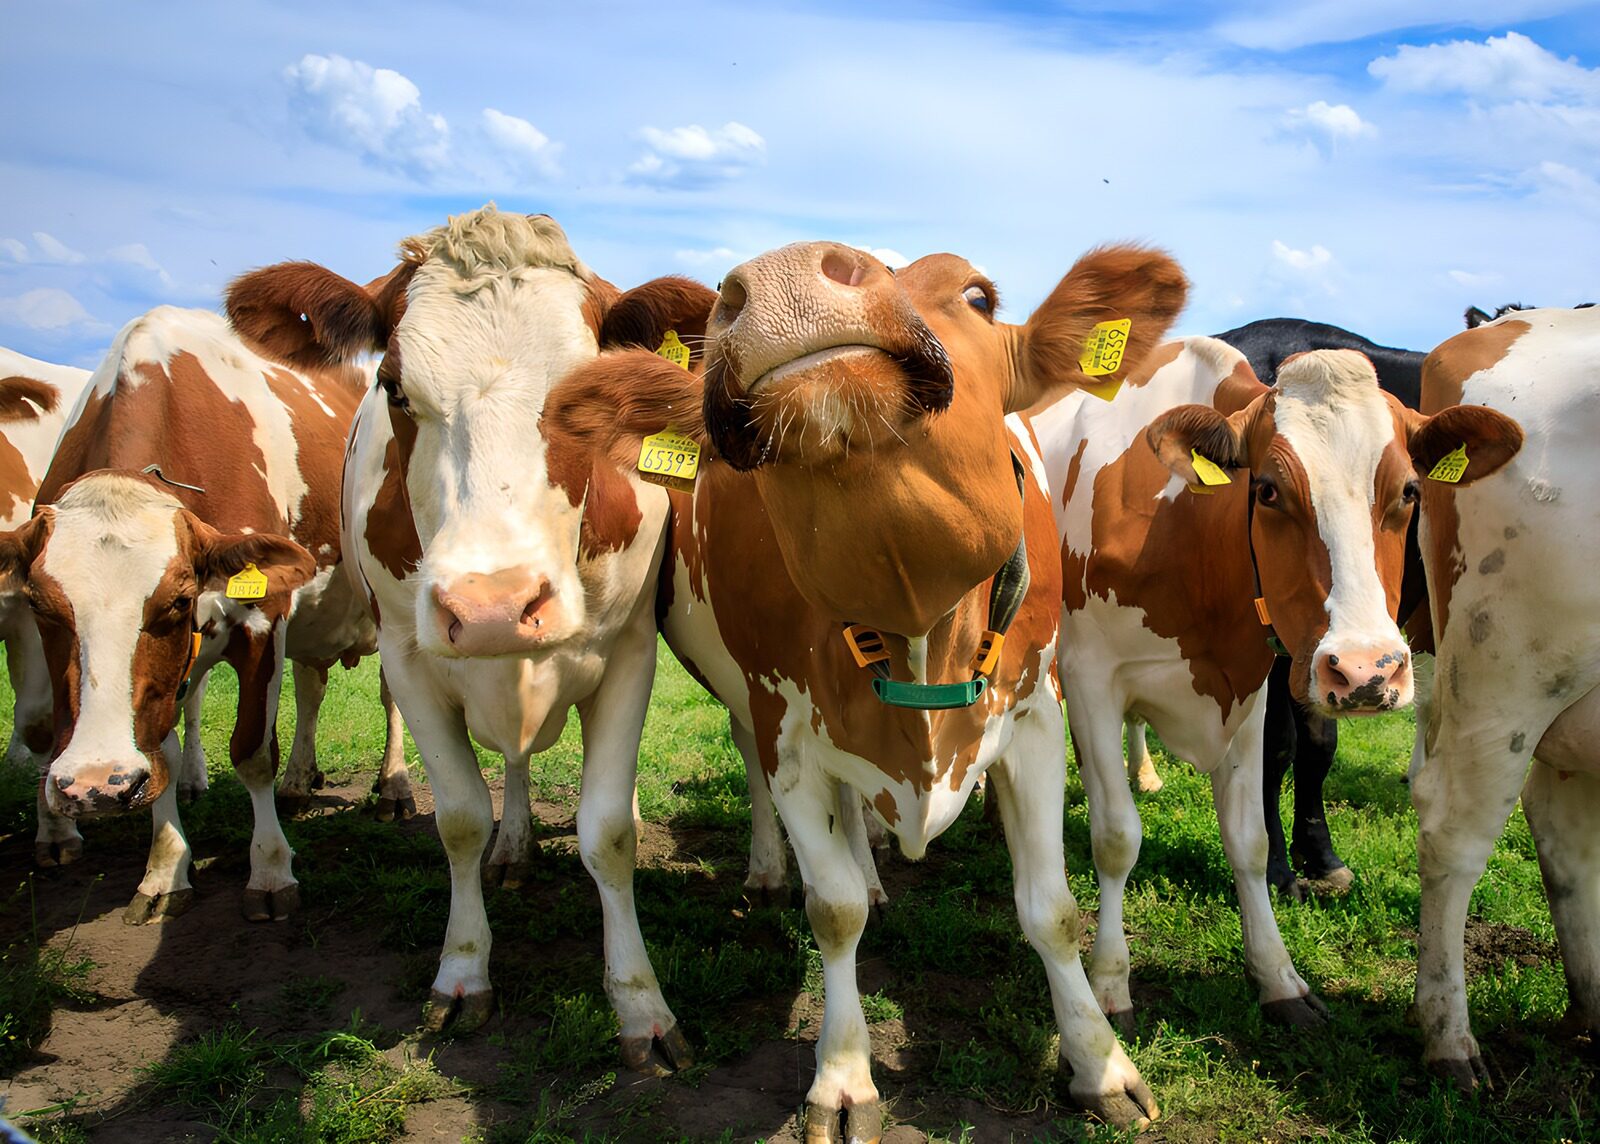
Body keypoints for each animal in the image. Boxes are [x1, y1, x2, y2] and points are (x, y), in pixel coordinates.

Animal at [0, 304, 399, 923]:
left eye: (177, 599)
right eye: (42, 604)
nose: (95, 784)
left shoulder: (264, 619)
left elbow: (252, 750)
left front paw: (270, 871)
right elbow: (156, 748)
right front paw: (165, 870)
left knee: (390, 696)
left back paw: (393, 786)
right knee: (310, 690)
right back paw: (298, 780)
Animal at [226, 206, 720, 1071]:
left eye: (587, 393)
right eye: (394, 386)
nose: (493, 606)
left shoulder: (630, 652)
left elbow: (609, 833)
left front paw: (641, 1005)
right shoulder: (409, 658)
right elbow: (458, 818)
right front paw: (462, 974)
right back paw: (513, 848)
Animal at [544, 240, 1190, 1134]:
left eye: (977, 297)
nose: (783, 274)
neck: (915, 627)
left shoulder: (1033, 716)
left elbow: (1051, 910)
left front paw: (1101, 1063)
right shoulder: (786, 733)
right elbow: (834, 910)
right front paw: (844, 1077)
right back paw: (780, 872)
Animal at [1033, 341, 1524, 1033]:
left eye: (1409, 490)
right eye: (1266, 489)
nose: (1367, 669)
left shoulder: (1251, 689)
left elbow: (1248, 838)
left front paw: (1277, 976)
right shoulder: (1091, 681)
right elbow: (1116, 840)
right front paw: (1109, 983)